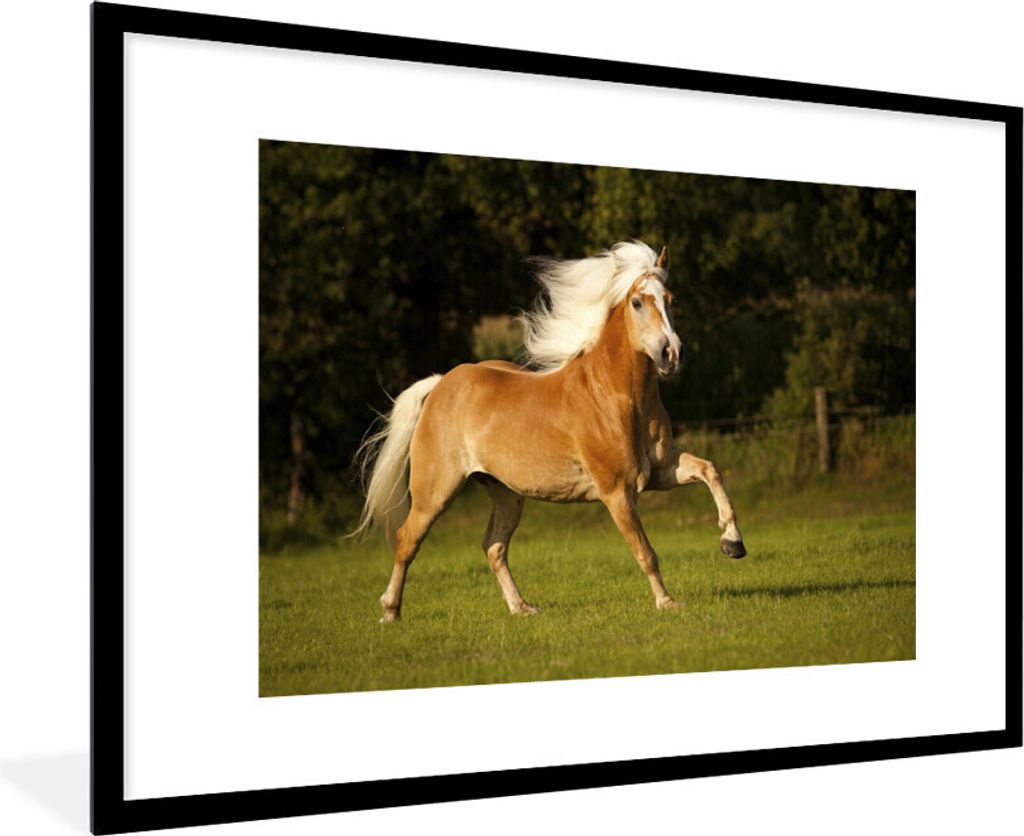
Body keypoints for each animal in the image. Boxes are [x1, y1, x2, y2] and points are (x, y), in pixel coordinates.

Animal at [352, 241, 746, 622]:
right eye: (637, 302)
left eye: (671, 300)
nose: (671, 354)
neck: (615, 395)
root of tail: (440, 385)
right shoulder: (617, 491)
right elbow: (644, 551)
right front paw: (667, 602)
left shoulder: (661, 472)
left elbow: (711, 469)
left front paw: (732, 543)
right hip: (436, 491)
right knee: (407, 539)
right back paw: (390, 611)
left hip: (505, 493)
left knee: (494, 546)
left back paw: (522, 608)